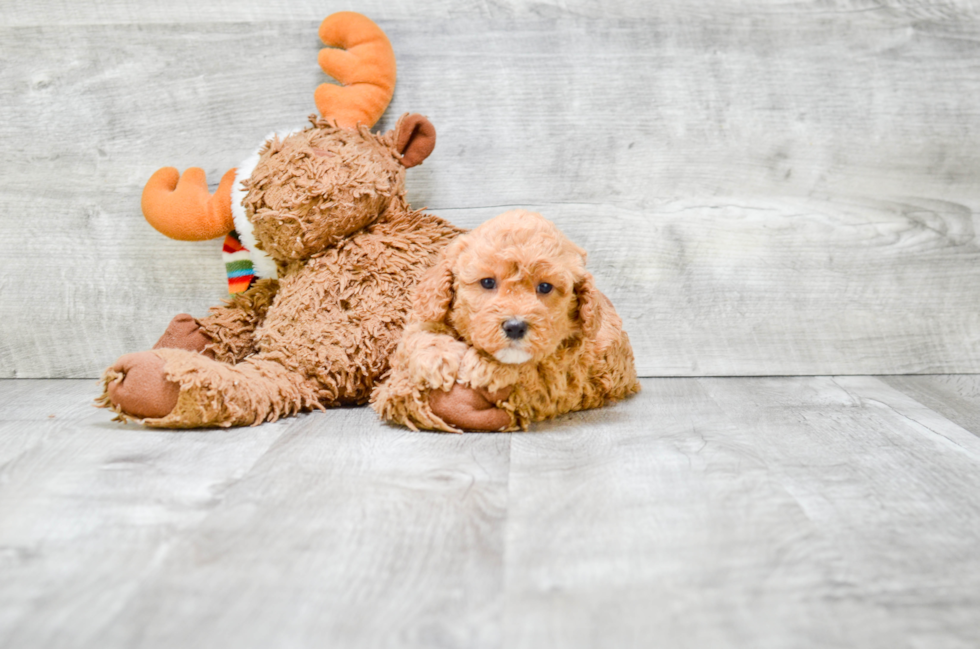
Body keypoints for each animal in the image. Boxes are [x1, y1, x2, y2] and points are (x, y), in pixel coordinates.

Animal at [372, 210, 640, 432]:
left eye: (545, 287)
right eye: (488, 282)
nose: (515, 327)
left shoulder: (564, 367)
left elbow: (531, 366)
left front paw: (484, 368)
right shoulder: (426, 313)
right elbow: (418, 335)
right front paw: (438, 358)